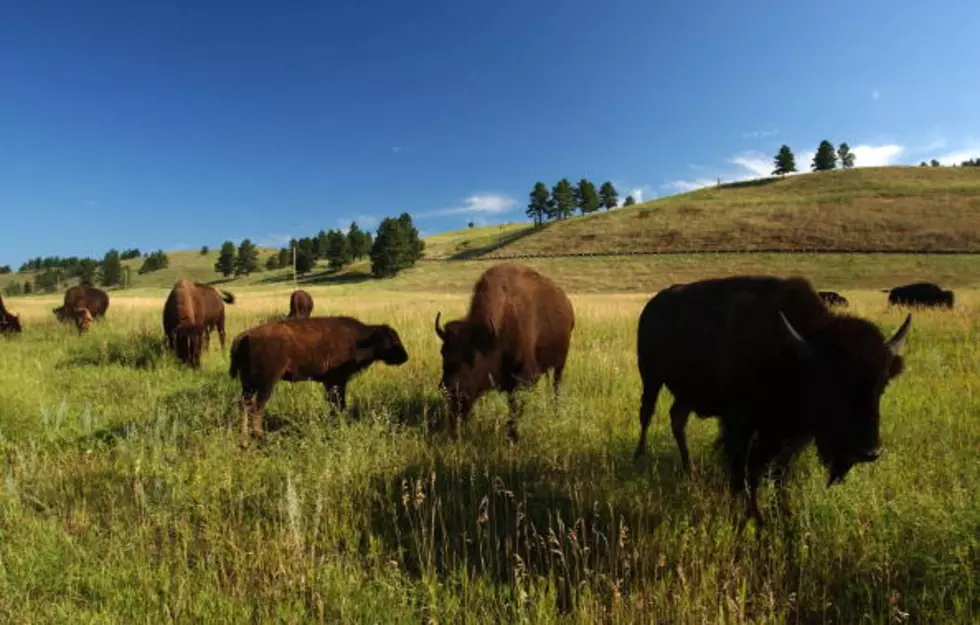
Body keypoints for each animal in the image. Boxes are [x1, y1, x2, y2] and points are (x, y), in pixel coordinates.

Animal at [228, 314, 408, 442]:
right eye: (391, 339)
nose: (404, 357)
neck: (360, 339)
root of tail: (245, 335)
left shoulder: (330, 383)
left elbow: (336, 404)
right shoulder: (337, 381)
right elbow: (339, 404)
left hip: (248, 383)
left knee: (244, 404)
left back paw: (244, 437)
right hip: (266, 382)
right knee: (256, 407)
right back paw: (260, 435)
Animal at [430, 260, 576, 442]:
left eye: (473, 358)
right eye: (443, 353)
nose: (451, 390)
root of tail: (567, 305)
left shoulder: (521, 378)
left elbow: (514, 407)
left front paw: (512, 436)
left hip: (560, 364)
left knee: (556, 386)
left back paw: (555, 411)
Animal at [636, 276, 912, 524]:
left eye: (882, 386)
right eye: (831, 384)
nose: (868, 451)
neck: (795, 355)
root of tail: (652, 306)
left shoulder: (792, 434)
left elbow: (780, 472)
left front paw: (784, 512)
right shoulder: (741, 425)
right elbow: (746, 470)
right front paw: (751, 515)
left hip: (685, 394)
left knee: (677, 420)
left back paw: (690, 469)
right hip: (651, 378)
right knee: (646, 416)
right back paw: (640, 457)